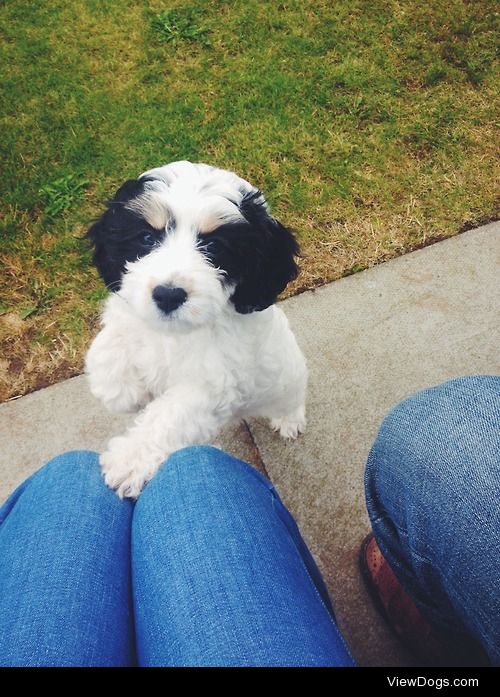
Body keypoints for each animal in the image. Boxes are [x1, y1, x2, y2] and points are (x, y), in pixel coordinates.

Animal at [84, 160, 306, 498]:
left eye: (213, 245)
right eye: (147, 239)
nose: (168, 295)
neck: (175, 333)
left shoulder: (211, 384)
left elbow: (169, 416)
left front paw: (129, 461)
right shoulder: (131, 313)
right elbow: (110, 343)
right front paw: (122, 391)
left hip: (287, 380)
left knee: (291, 400)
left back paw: (290, 420)